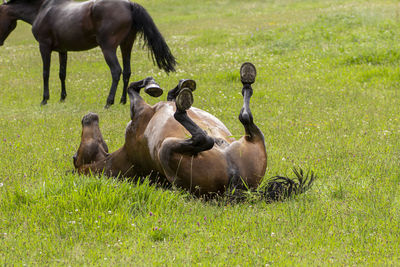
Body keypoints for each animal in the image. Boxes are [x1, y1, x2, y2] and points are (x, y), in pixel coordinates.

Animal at [0, 0, 175, 108]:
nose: (0, 42)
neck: (42, 9)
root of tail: (128, 4)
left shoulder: (44, 47)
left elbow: (46, 73)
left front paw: (45, 99)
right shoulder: (63, 50)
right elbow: (62, 74)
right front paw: (62, 98)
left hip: (108, 48)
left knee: (116, 71)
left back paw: (109, 102)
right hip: (126, 46)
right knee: (126, 71)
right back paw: (123, 100)